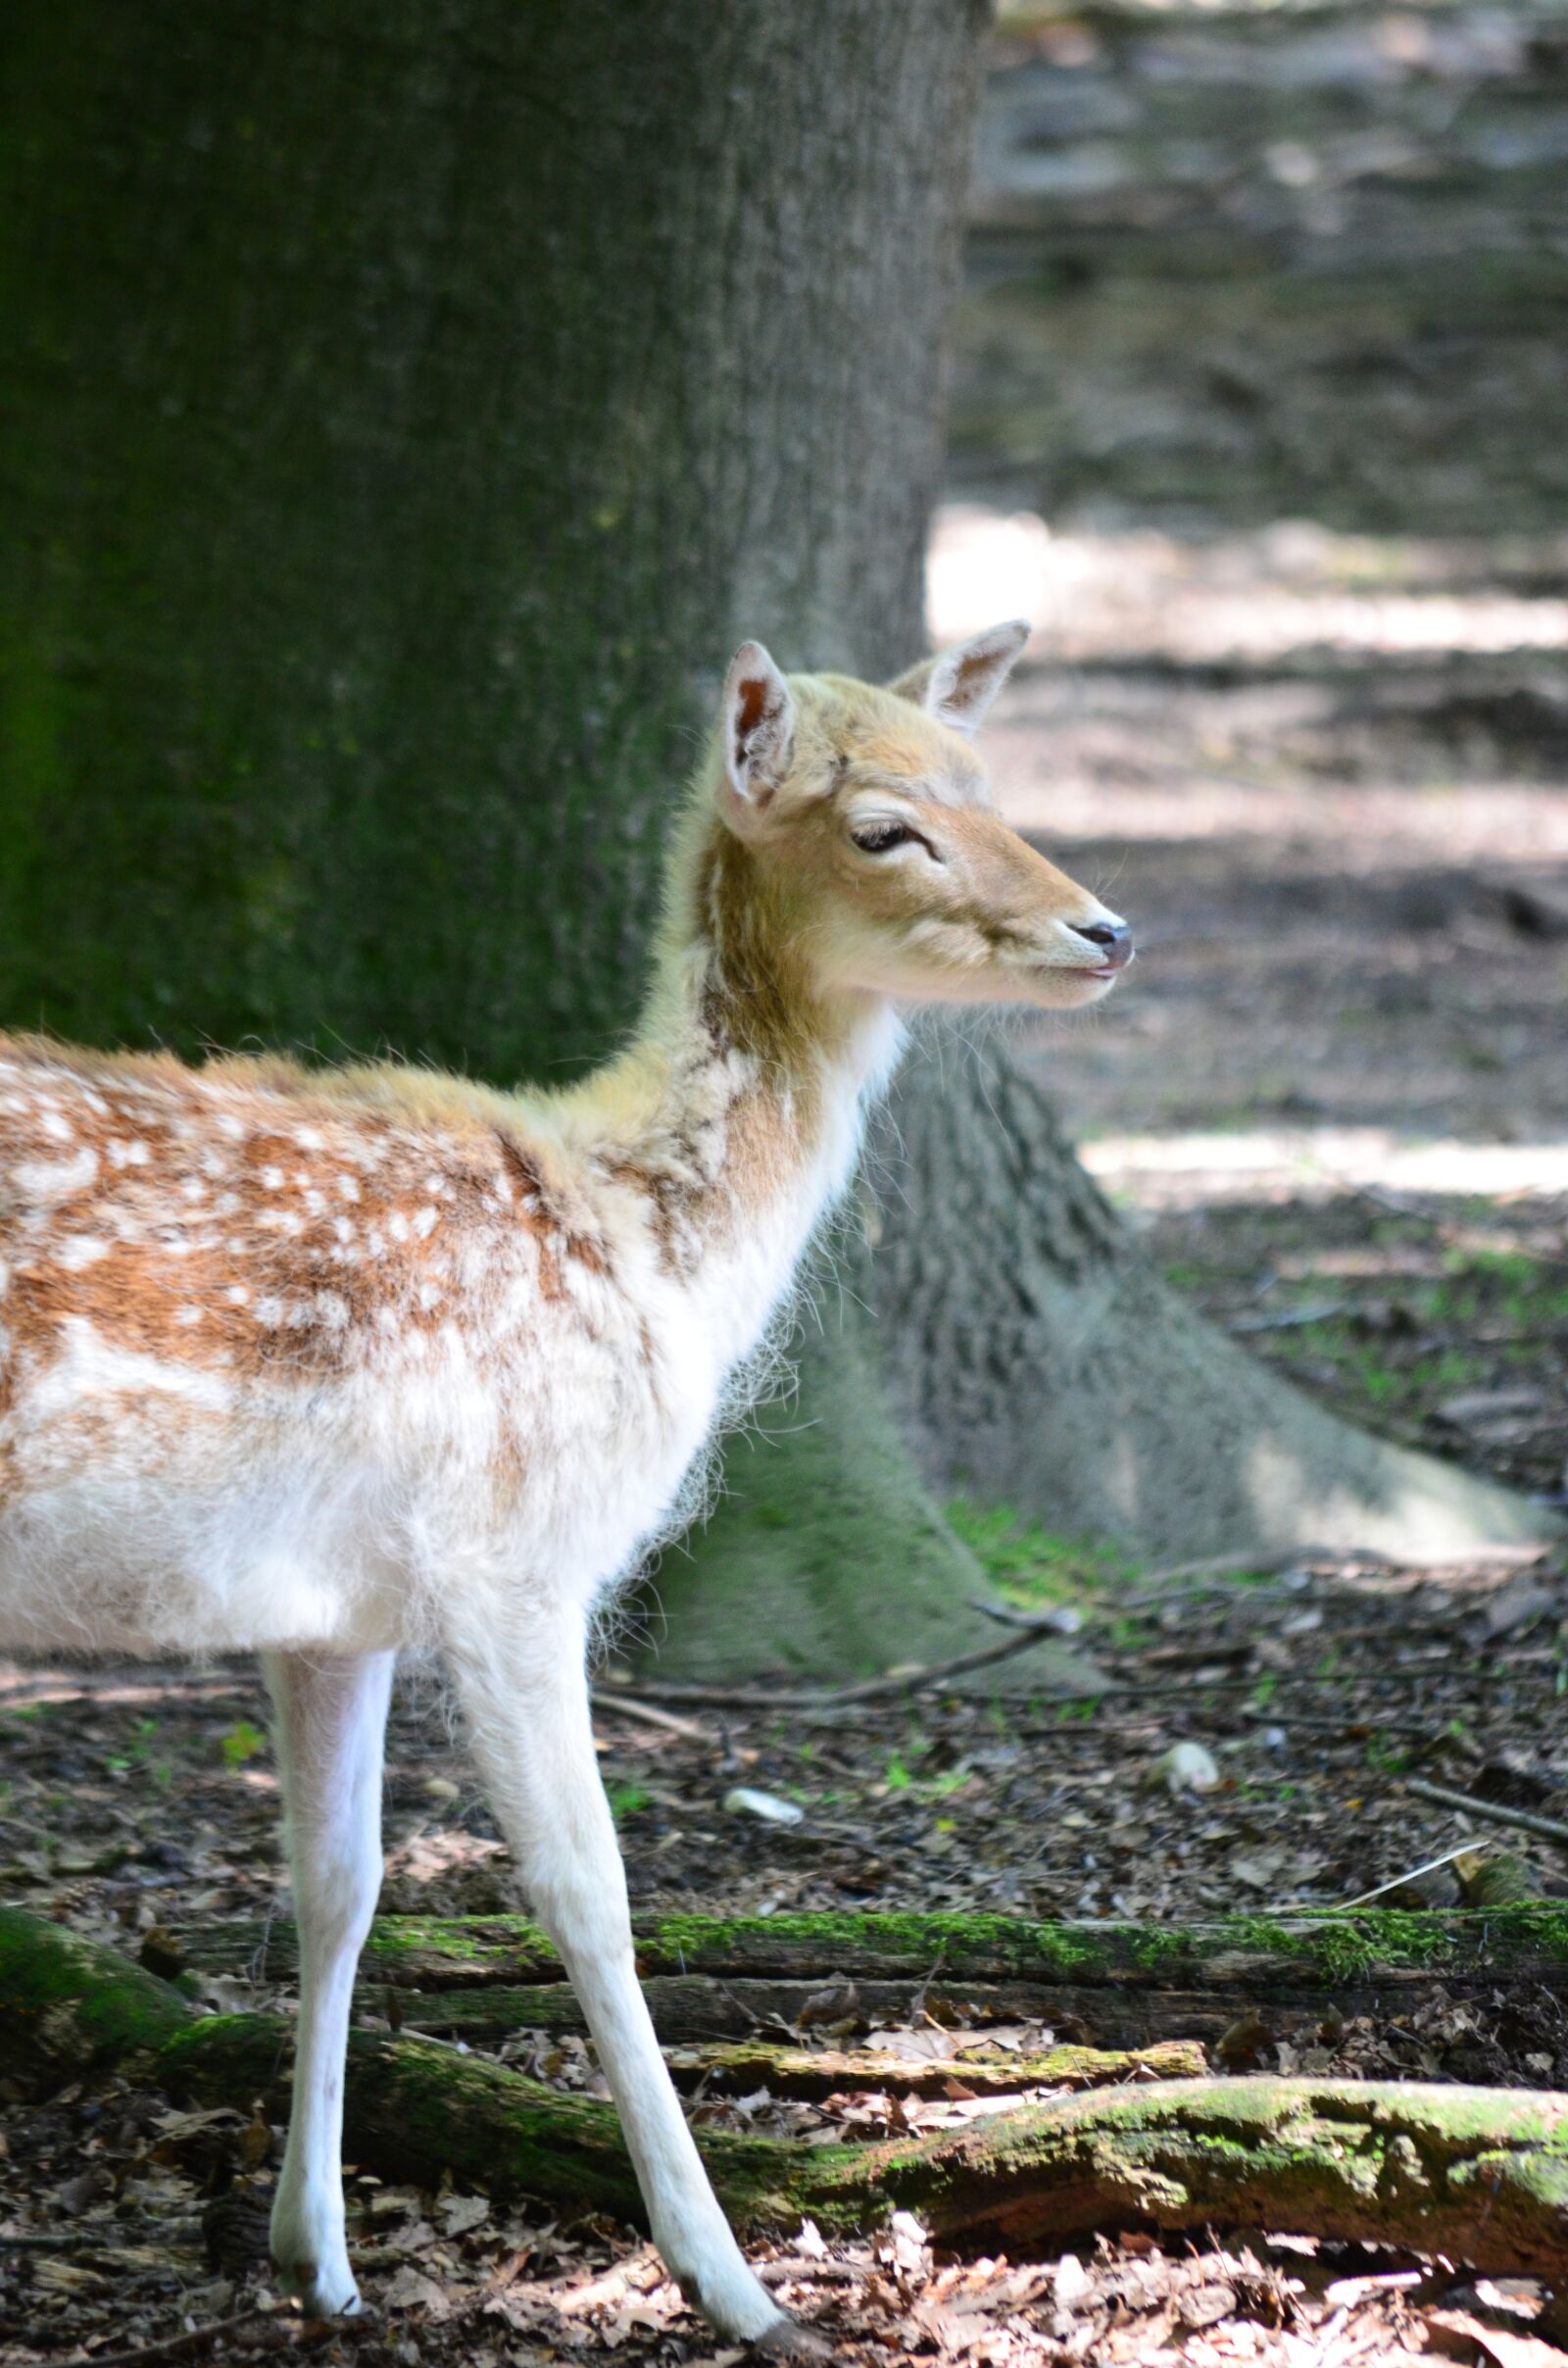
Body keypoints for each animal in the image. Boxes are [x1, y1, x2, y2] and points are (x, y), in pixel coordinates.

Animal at [0, 622, 1131, 2351]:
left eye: (986, 785)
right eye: (885, 826)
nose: (1106, 928)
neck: (641, 1248)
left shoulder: (333, 1607)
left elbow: (338, 1883)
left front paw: (318, 2261)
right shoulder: (519, 1563)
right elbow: (592, 1891)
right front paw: (739, 2287)